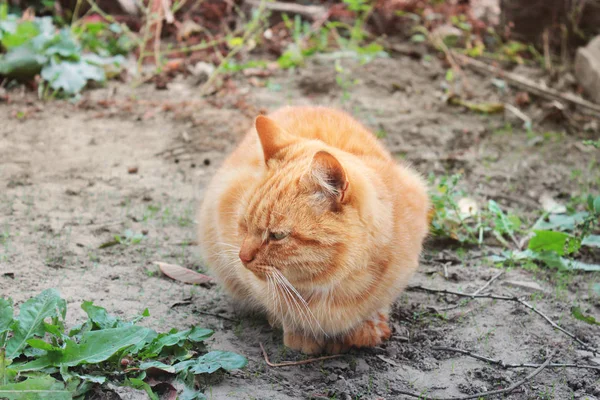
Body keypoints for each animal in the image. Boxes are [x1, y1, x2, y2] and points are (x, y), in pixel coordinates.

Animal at [199, 105, 428, 354]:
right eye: (244, 225)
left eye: (277, 236)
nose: (243, 257)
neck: (335, 286)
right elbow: (279, 306)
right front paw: (299, 333)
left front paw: (367, 327)